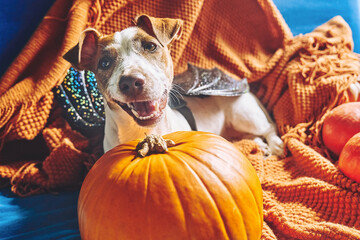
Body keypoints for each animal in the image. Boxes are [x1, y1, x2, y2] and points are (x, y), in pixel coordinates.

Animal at [64, 14, 284, 156]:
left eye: (150, 46)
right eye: (104, 63)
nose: (131, 81)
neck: (143, 133)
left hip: (243, 115)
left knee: (268, 128)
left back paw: (274, 145)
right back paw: (258, 145)